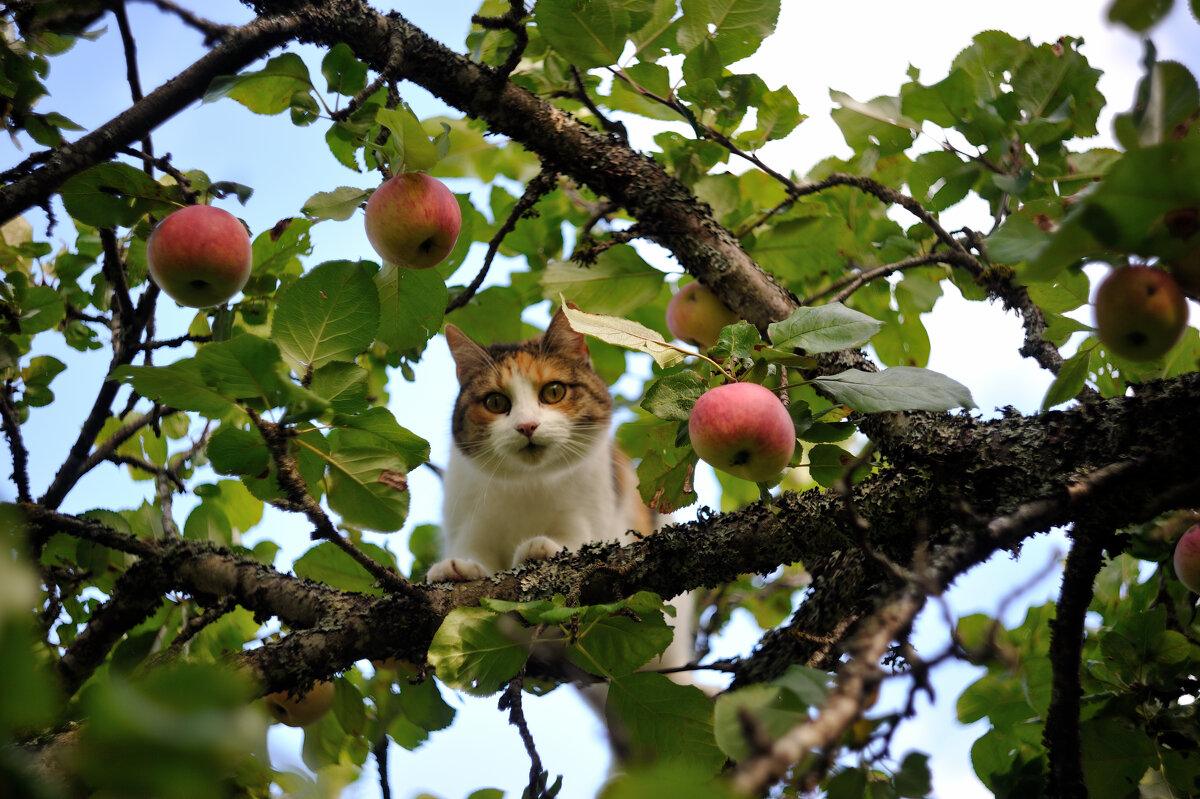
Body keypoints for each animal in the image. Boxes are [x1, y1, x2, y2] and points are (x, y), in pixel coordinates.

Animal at [429, 304, 696, 676]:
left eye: (553, 392)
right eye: (495, 402)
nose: (527, 426)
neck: (528, 484)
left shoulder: (591, 522)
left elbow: (577, 545)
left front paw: (541, 549)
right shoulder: (467, 523)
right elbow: (474, 555)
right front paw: (457, 569)